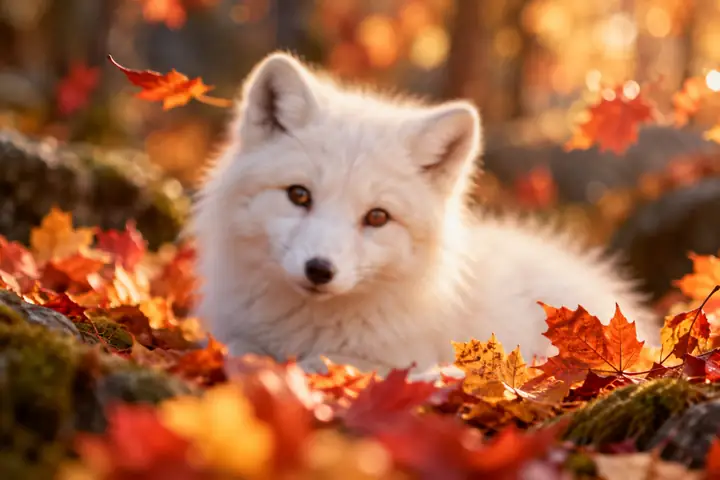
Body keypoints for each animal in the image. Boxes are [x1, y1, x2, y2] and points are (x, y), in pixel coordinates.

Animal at [191, 51, 659, 378]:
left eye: (377, 218)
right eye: (299, 195)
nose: (319, 270)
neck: (299, 329)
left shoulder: (393, 358)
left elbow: (326, 363)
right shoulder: (232, 329)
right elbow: (236, 347)